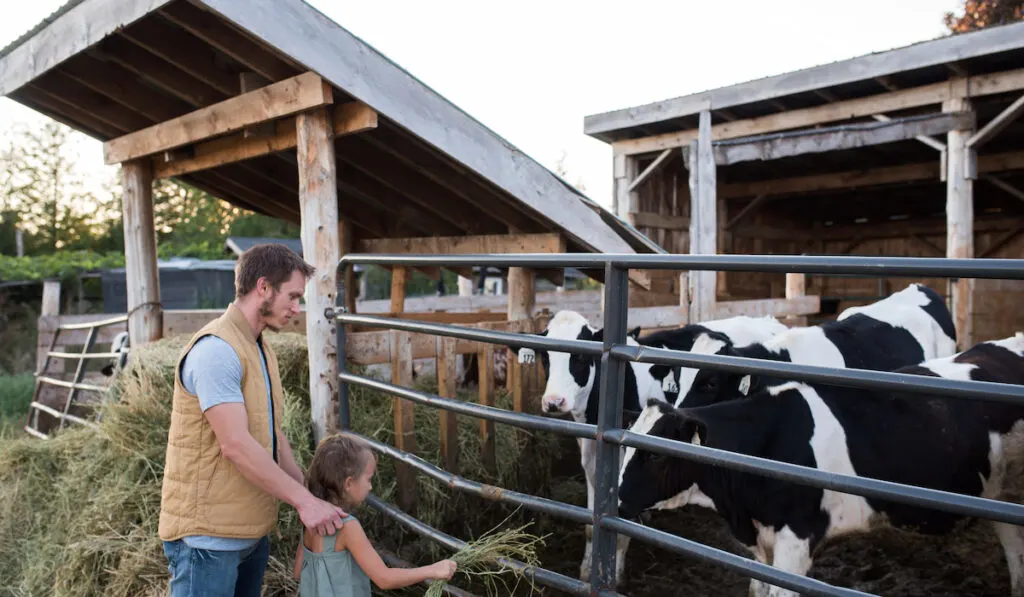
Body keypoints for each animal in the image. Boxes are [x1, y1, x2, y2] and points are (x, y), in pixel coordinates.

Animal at [512, 313, 790, 589]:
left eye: (580, 357)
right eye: (545, 357)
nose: (553, 402)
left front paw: (613, 576)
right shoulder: (591, 459)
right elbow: (591, 525)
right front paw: (586, 571)